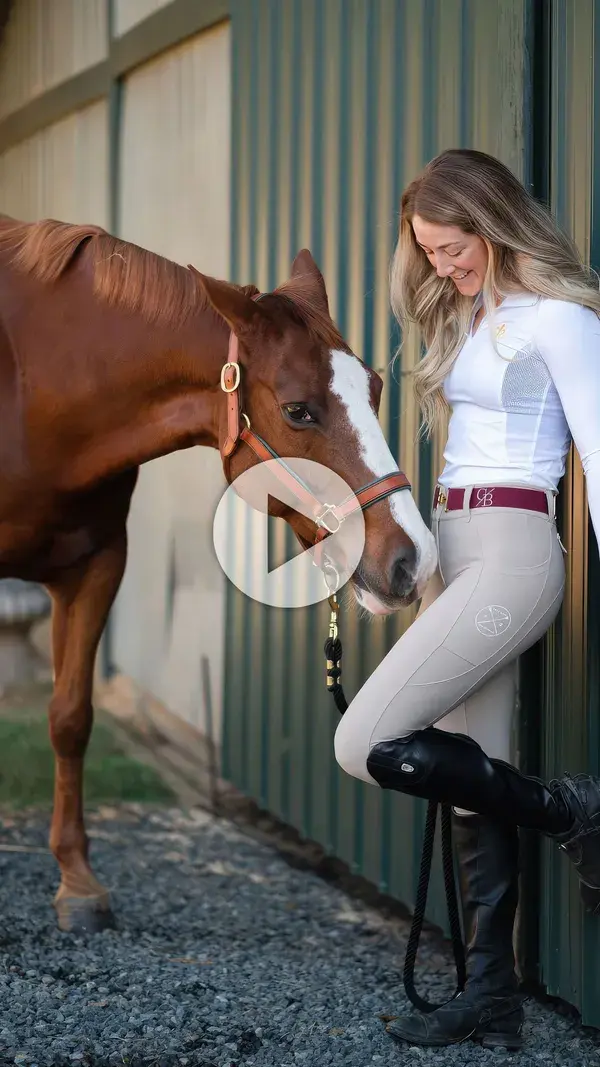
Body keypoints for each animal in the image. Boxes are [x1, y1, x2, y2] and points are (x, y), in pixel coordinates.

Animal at [0, 216, 437, 934]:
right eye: (298, 410)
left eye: (374, 388)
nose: (413, 558)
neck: (34, 389)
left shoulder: (96, 566)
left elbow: (70, 716)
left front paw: (77, 881)